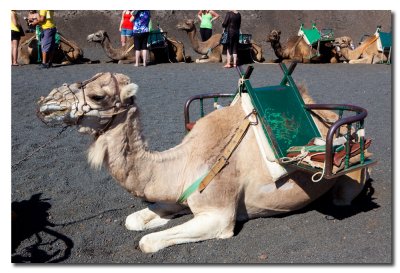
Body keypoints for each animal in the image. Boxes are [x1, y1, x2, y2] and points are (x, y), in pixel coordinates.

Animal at [36, 71, 368, 252]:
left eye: (97, 96)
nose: (45, 105)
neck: (183, 160)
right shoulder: (181, 194)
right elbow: (134, 221)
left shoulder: (219, 215)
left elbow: (148, 242)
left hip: (351, 180)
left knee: (343, 197)